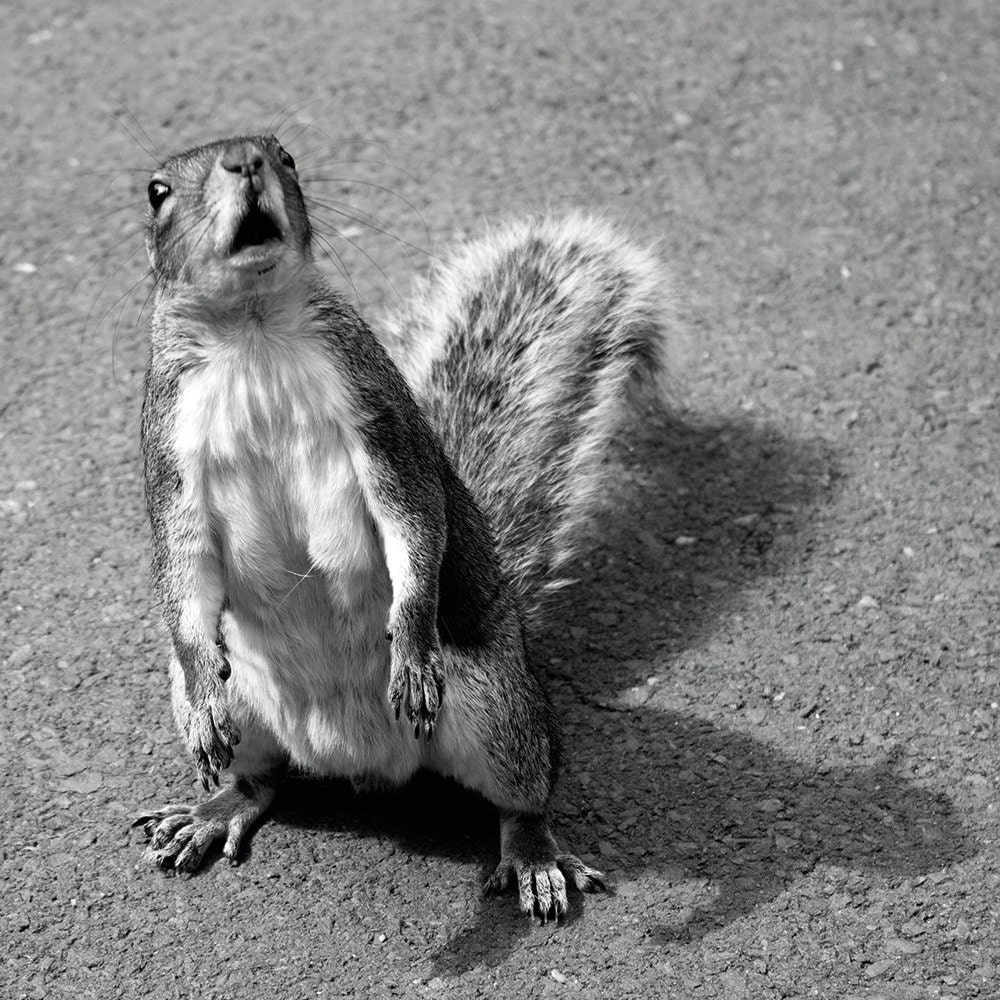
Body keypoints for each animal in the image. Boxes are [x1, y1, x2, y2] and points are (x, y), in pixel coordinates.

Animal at [134, 134, 674, 920]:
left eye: (286, 156)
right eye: (156, 192)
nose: (246, 163)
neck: (251, 331)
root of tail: (359, 760)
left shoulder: (378, 416)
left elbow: (414, 522)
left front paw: (412, 647)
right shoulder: (169, 450)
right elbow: (180, 569)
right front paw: (203, 690)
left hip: (495, 707)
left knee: (526, 791)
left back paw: (534, 856)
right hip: (245, 709)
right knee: (259, 780)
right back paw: (212, 809)